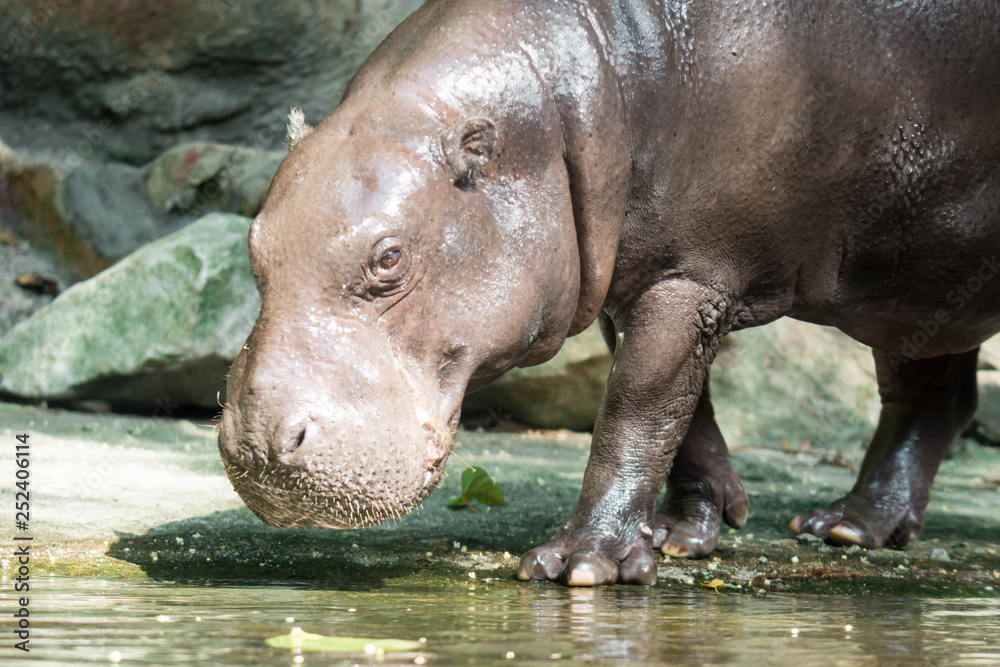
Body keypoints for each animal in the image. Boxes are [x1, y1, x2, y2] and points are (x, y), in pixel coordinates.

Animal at [218, 0, 1000, 586]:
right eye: (255, 242)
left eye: (388, 258)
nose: (256, 444)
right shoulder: (638, 276)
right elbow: (684, 414)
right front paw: (682, 534)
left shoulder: (687, 277)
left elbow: (636, 406)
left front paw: (580, 565)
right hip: (918, 284)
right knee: (932, 394)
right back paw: (850, 528)